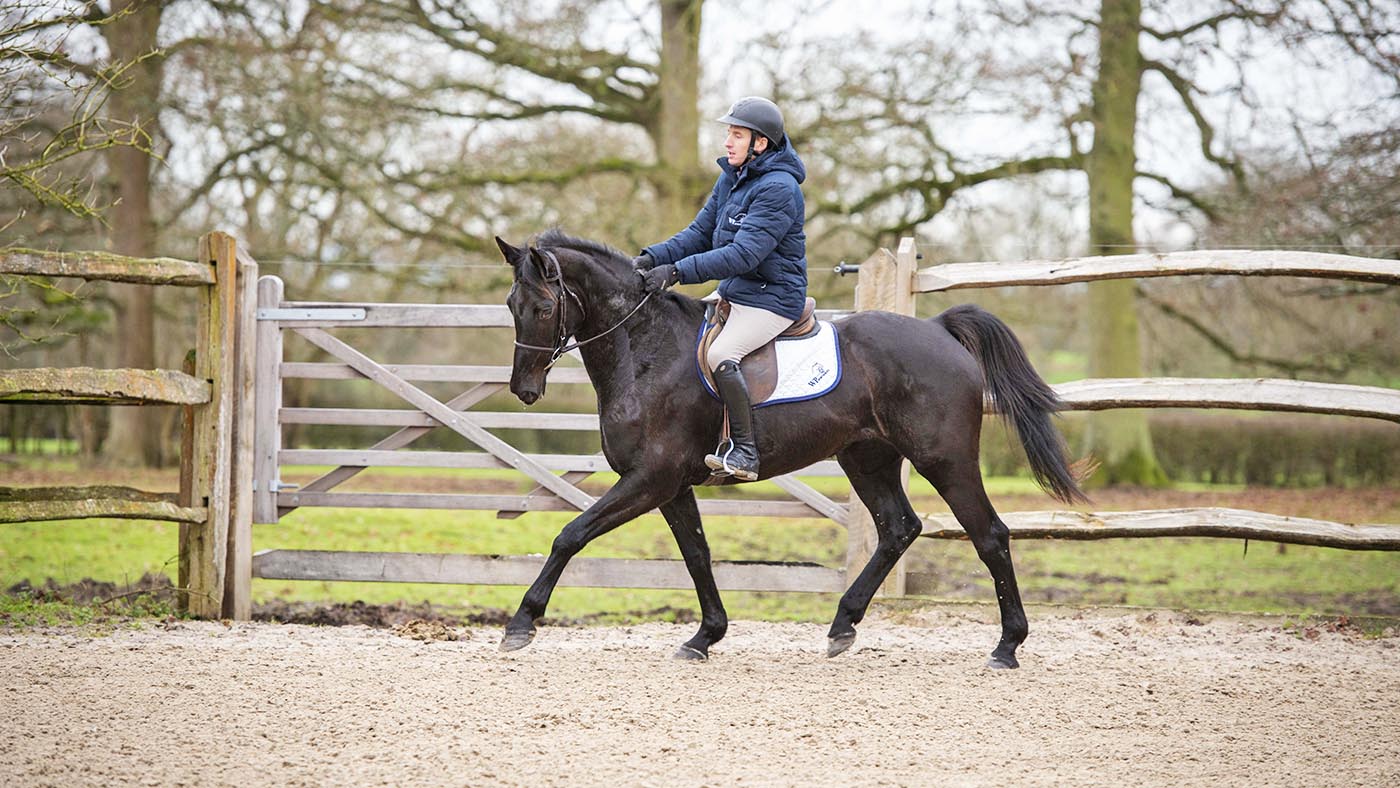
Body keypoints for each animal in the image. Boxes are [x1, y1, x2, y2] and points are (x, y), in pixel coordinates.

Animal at [498, 230, 1086, 669]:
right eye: (510, 304)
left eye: (544, 306)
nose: (523, 388)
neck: (646, 351)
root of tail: (939, 330)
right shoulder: (671, 486)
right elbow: (697, 556)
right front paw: (705, 636)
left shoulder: (650, 478)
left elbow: (570, 535)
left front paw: (521, 623)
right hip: (866, 458)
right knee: (899, 528)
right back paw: (843, 625)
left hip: (944, 459)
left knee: (989, 536)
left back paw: (1007, 646)